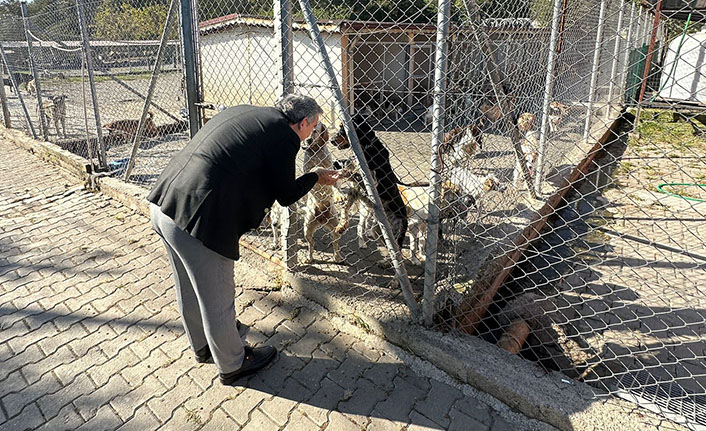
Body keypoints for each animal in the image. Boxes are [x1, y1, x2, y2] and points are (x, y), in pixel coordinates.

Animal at [298, 121, 342, 264]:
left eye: (315, 130)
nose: (308, 139)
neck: (316, 151)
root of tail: (322, 220)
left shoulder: (331, 172)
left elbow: (335, 186)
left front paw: (339, 195)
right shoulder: (307, 170)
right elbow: (315, 169)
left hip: (336, 227)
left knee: (335, 244)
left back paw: (337, 257)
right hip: (307, 229)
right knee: (311, 244)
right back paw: (309, 257)